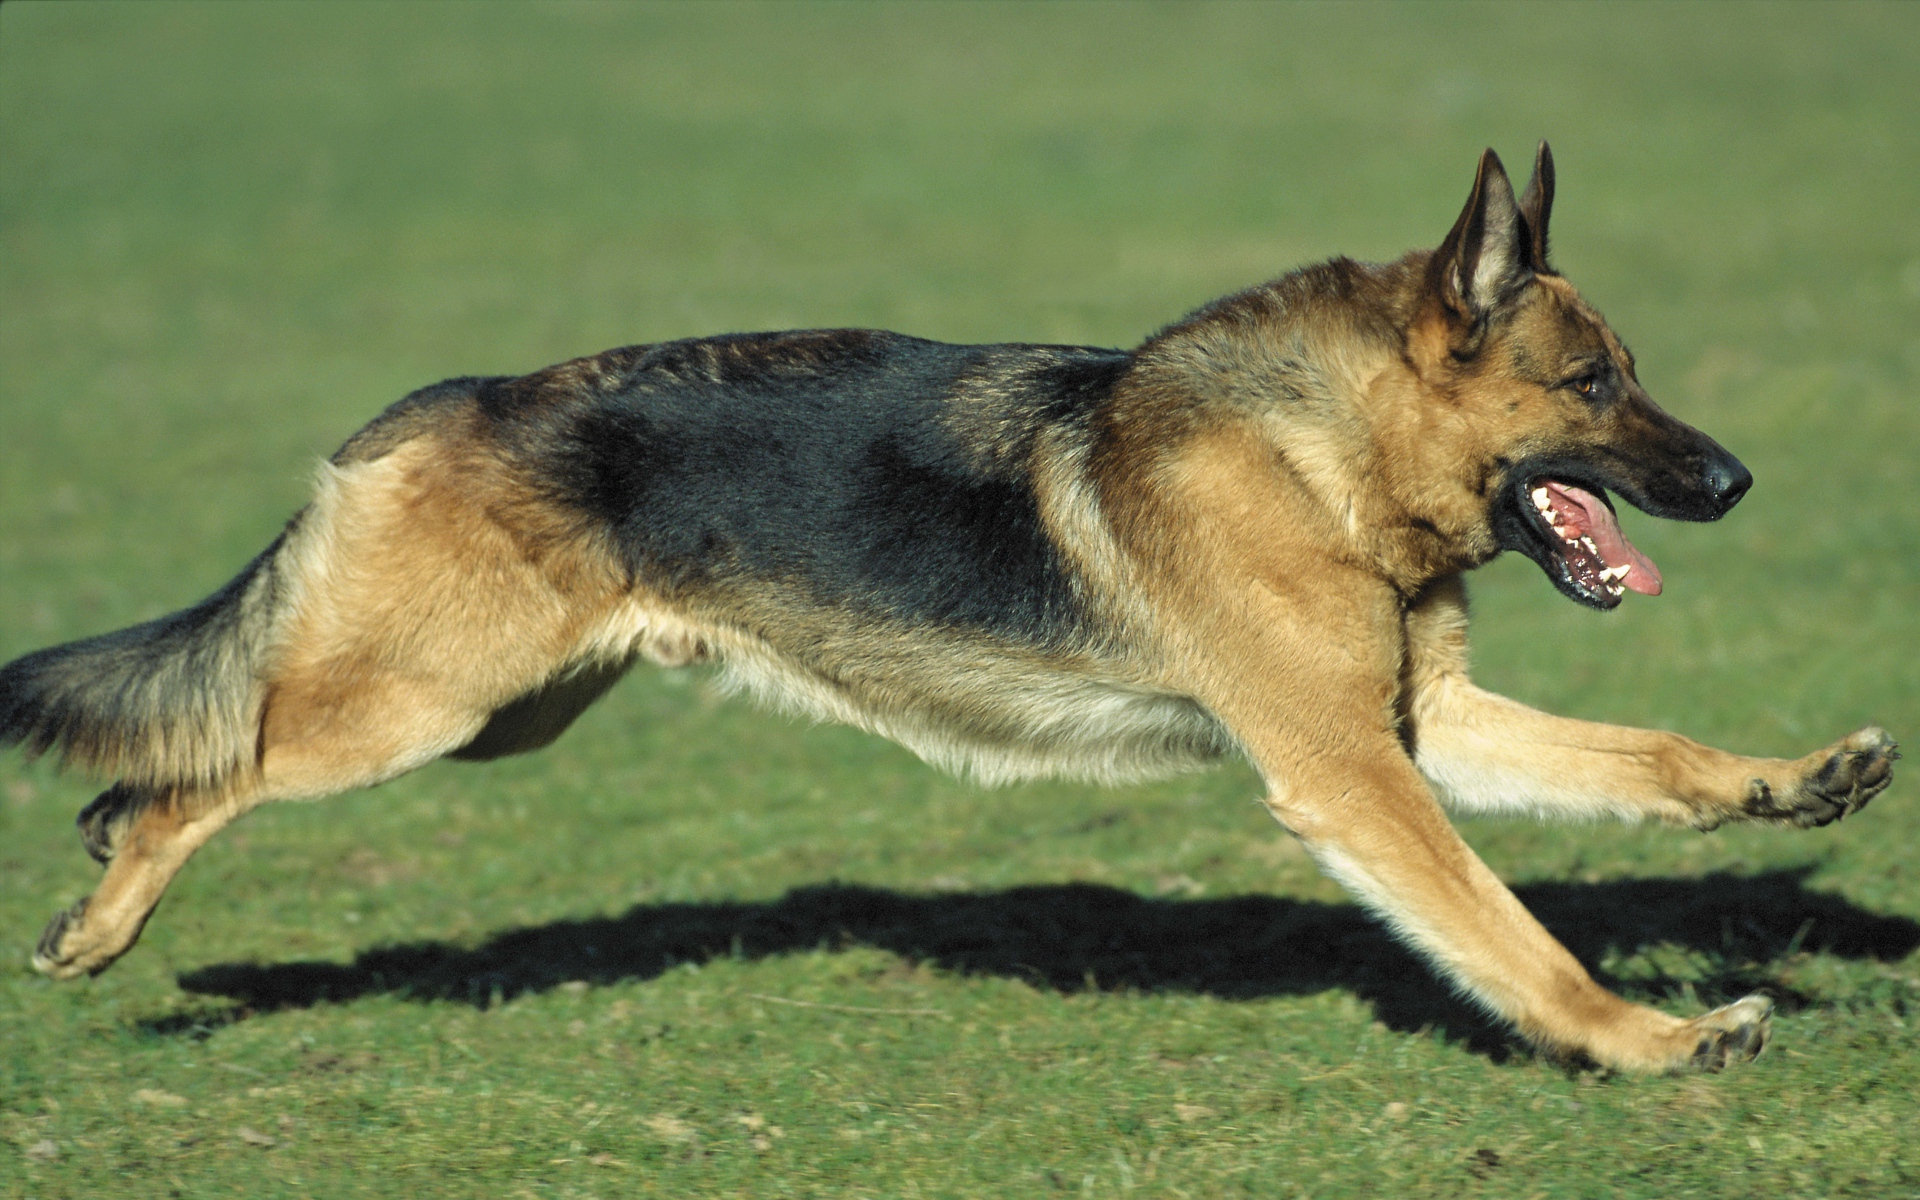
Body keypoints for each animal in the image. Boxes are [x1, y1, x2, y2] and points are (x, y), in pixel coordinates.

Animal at [1, 144, 1897, 1072]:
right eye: (1594, 384)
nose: (1737, 482)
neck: (1321, 454)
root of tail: (437, 402)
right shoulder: (1354, 775)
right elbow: (1518, 939)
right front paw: (1649, 1043)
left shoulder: (1422, 729)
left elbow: (1652, 753)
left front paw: (1794, 785)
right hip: (418, 712)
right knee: (198, 768)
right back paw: (98, 924)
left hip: (499, 716)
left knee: (189, 755)